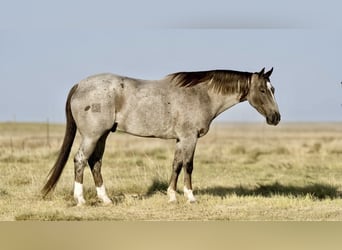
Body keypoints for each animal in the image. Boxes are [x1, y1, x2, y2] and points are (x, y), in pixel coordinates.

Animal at [41, 67, 280, 205]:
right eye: (262, 90)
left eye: (273, 89)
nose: (276, 117)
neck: (200, 94)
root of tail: (80, 84)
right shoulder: (189, 138)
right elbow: (188, 166)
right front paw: (190, 197)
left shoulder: (180, 140)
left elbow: (176, 165)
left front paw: (172, 196)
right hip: (92, 135)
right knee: (80, 160)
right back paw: (80, 199)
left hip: (102, 136)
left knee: (95, 163)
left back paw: (106, 199)